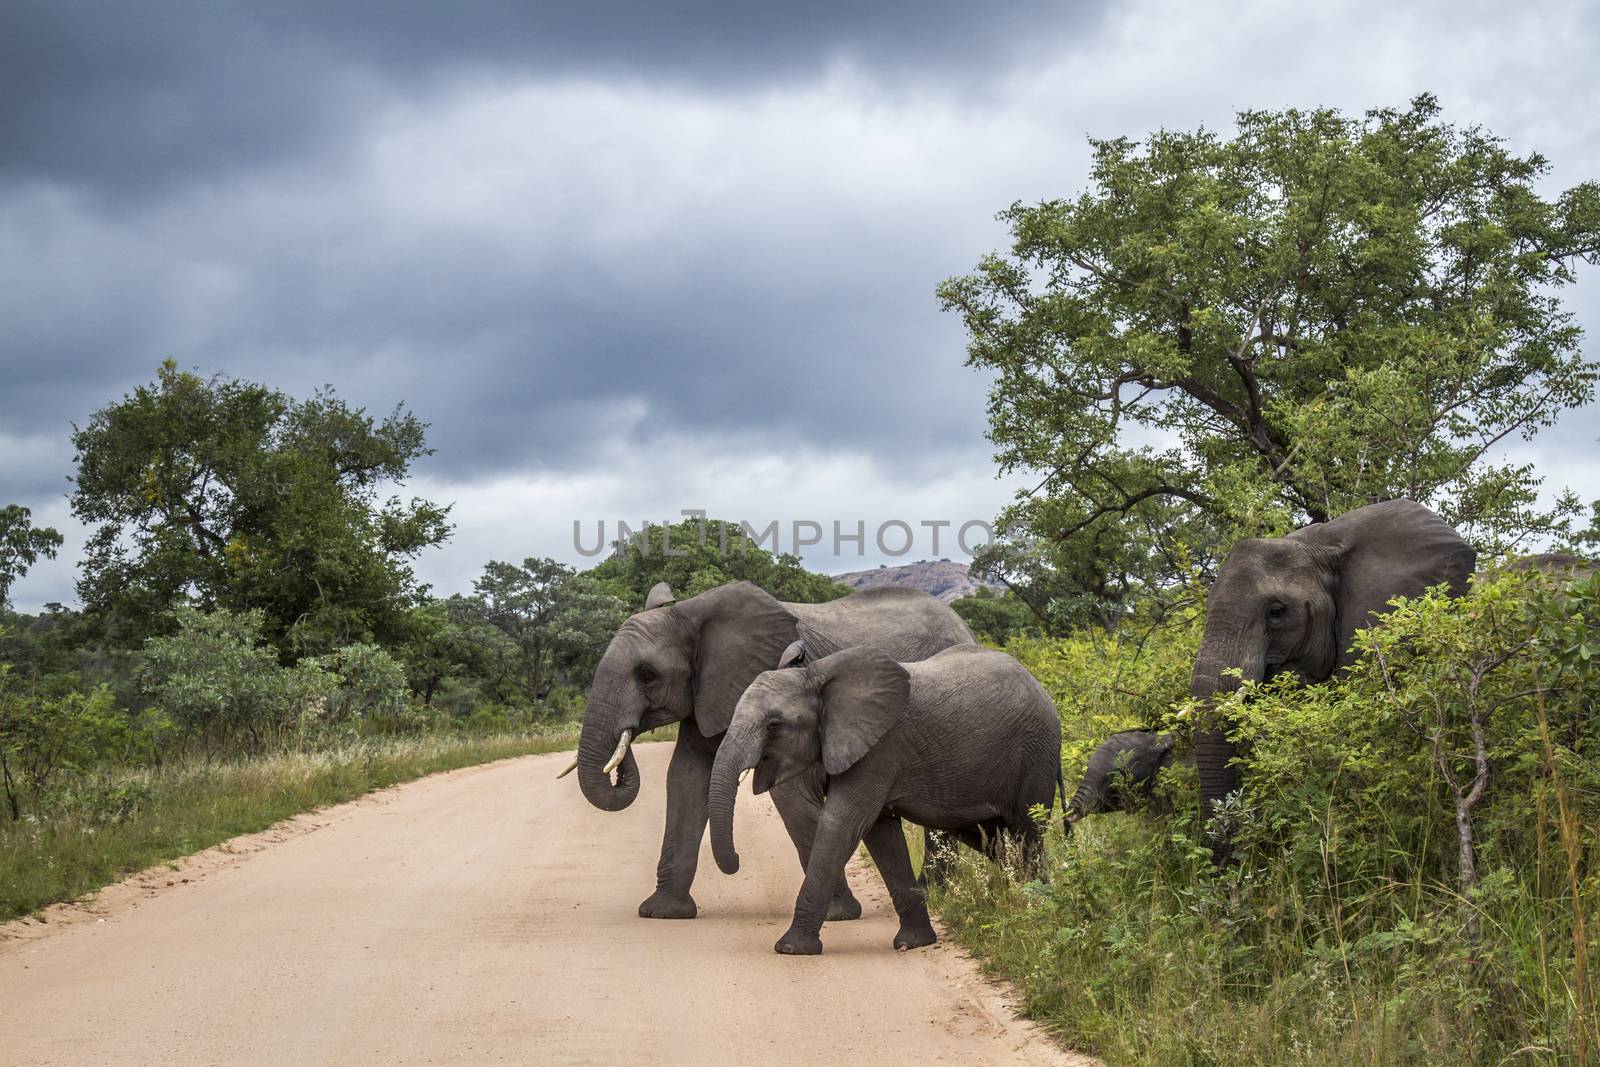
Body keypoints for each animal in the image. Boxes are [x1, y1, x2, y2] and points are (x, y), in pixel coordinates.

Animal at [569, 579, 966, 921]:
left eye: (647, 675)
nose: (737, 862)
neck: (691, 614)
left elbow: (790, 795)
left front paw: (837, 915)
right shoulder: (709, 692)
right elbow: (686, 776)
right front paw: (662, 912)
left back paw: (931, 894)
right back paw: (929, 893)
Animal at [704, 643, 1056, 959]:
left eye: (774, 726)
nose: (737, 861)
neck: (815, 676)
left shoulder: (880, 748)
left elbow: (842, 823)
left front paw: (791, 949)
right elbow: (881, 834)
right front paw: (914, 943)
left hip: (1036, 757)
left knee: (1027, 834)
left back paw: (1033, 909)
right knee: (994, 842)